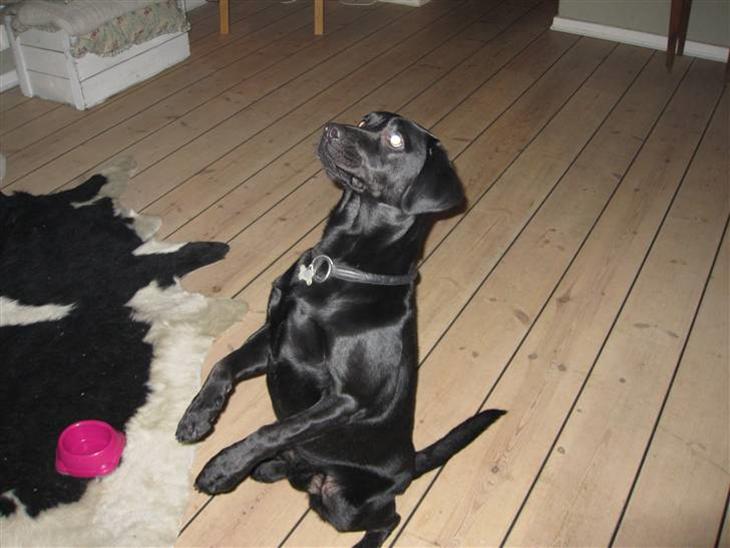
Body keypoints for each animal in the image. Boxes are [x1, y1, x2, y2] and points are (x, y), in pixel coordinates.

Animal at [176, 112, 506, 547]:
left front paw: (224, 466)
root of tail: (410, 464)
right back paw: (269, 467)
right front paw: (197, 416)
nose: (331, 128)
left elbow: (275, 428)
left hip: (345, 502)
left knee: (389, 519)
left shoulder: (349, 398)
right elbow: (223, 366)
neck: (339, 268)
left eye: (396, 140)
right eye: (367, 120)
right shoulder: (273, 340)